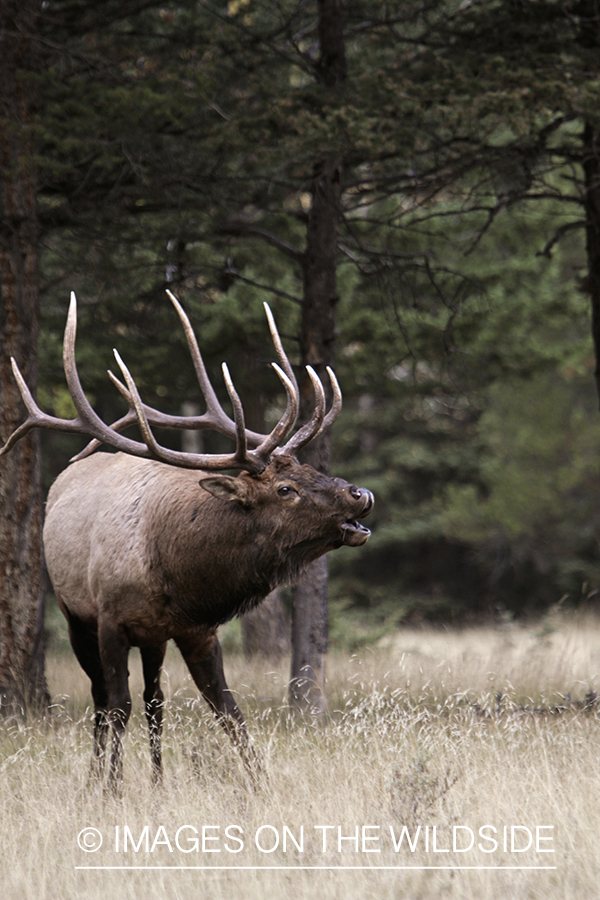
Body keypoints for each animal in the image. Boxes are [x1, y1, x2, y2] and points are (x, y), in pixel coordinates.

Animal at [1, 292, 370, 792]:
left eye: (312, 469)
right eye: (284, 489)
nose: (361, 494)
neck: (179, 577)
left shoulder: (197, 632)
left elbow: (227, 710)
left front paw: (261, 784)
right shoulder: (110, 620)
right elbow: (118, 705)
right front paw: (112, 789)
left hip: (153, 639)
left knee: (154, 699)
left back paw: (157, 780)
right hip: (72, 611)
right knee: (102, 698)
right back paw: (95, 778)